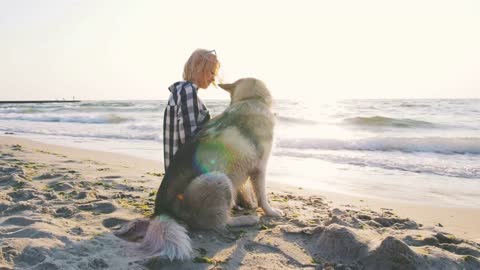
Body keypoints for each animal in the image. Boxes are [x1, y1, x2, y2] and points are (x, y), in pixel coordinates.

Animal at [116, 77, 282, 260]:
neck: (251, 99)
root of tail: (162, 211)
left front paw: (250, 204)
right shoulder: (260, 169)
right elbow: (262, 196)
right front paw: (270, 211)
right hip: (219, 180)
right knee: (219, 223)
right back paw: (247, 220)